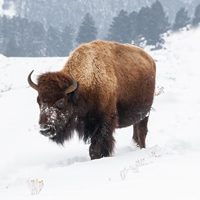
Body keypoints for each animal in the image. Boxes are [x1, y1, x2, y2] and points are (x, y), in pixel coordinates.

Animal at [27, 40, 156, 159]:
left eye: (61, 101)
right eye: (39, 101)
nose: (45, 129)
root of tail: (150, 59)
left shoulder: (104, 123)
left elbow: (96, 147)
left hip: (145, 113)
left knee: (141, 132)